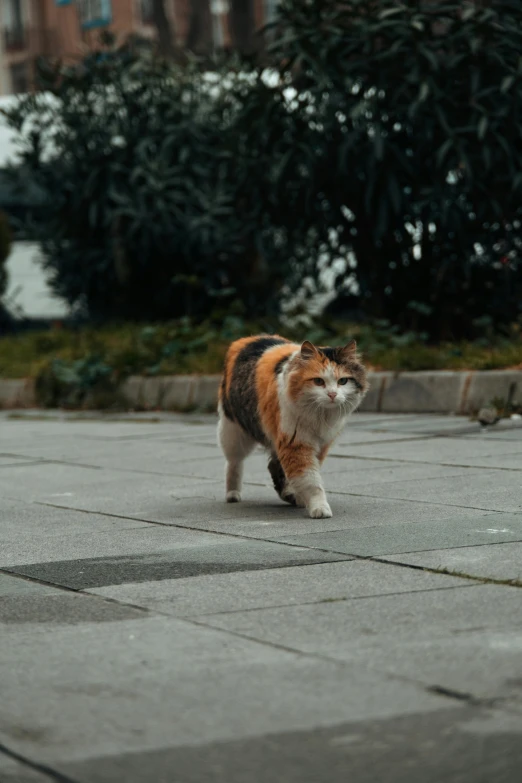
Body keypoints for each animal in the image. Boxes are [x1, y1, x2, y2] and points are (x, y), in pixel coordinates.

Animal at [217, 334, 368, 516]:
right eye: (318, 381)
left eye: (343, 381)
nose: (332, 394)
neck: (319, 416)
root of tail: (248, 339)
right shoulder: (295, 443)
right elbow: (311, 481)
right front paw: (319, 508)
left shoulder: (320, 444)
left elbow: (302, 476)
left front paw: (302, 500)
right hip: (234, 432)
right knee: (233, 463)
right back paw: (232, 494)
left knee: (273, 466)